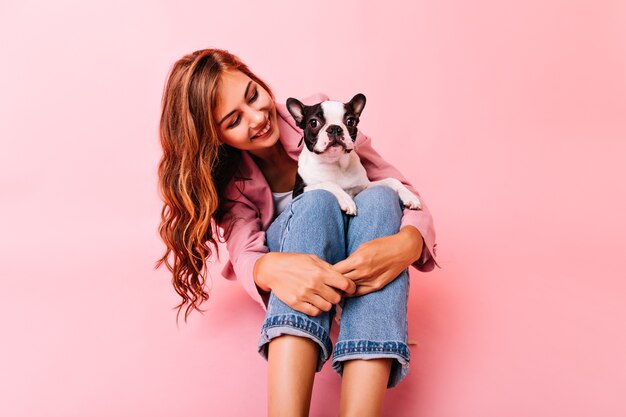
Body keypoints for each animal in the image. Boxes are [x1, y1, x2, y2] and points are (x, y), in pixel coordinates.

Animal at [286, 93, 422, 214]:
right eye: (313, 123)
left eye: (351, 121)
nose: (335, 128)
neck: (336, 163)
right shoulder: (299, 191)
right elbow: (328, 183)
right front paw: (346, 199)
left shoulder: (364, 186)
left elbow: (392, 180)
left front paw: (410, 196)